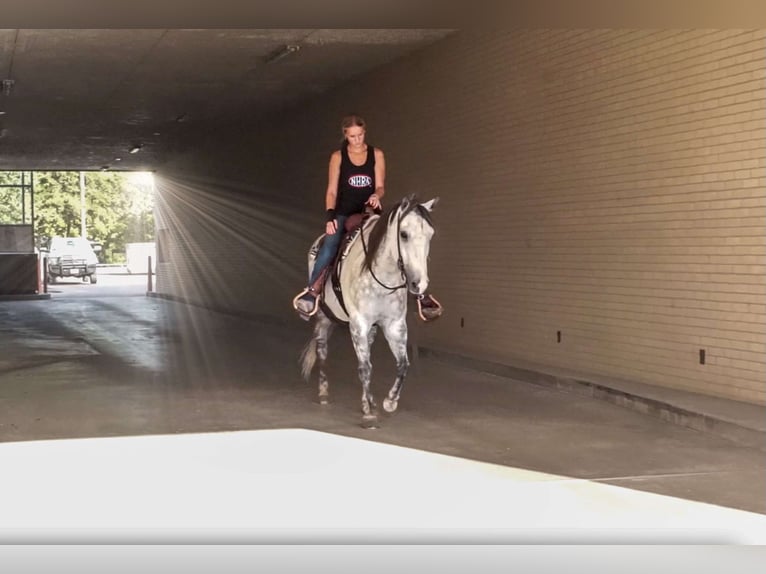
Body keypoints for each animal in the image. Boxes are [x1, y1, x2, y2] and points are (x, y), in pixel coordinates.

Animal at [304, 196, 440, 430]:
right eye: (404, 234)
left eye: (430, 234)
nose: (419, 284)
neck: (383, 275)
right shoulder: (359, 323)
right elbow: (365, 367)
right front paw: (370, 415)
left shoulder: (395, 325)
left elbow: (403, 365)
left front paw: (388, 402)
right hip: (323, 316)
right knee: (322, 349)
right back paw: (323, 393)